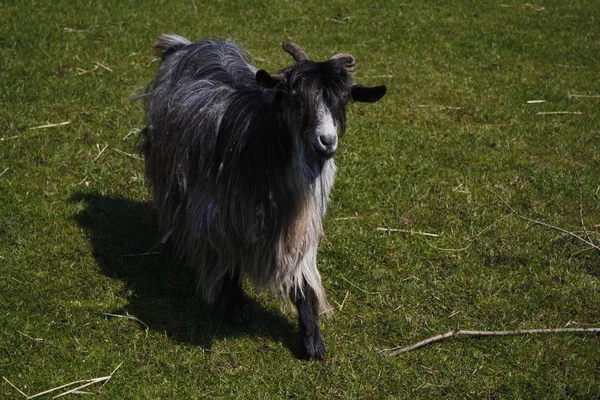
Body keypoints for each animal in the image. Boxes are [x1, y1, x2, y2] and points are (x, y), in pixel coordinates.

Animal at [138, 33, 386, 360]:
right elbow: (227, 258)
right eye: (295, 96)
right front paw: (235, 305)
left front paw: (312, 340)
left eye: (344, 100)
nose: (326, 142)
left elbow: (302, 278)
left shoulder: (299, 226)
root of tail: (187, 45)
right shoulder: (219, 212)